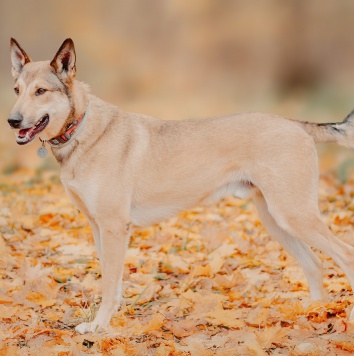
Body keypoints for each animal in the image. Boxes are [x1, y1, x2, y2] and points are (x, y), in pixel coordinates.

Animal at [7, 38, 354, 334]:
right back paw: (312, 313)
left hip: (295, 215)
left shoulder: (114, 227)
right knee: (315, 263)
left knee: (345, 255)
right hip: (277, 221)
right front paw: (103, 321)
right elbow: (111, 280)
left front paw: (99, 327)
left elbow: (108, 284)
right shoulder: (98, 228)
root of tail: (296, 124)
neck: (81, 130)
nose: (12, 121)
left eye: (41, 91)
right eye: (16, 90)